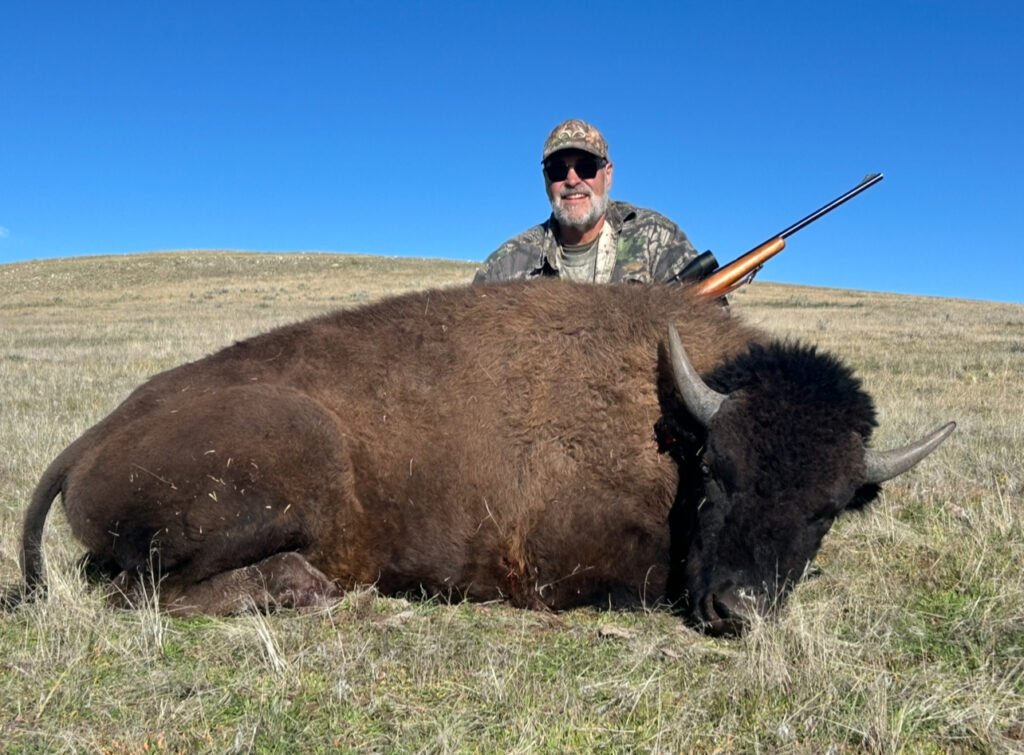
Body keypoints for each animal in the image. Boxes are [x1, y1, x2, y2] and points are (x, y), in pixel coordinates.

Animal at [4, 280, 954, 636]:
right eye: (720, 475)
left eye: (828, 507)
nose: (738, 608)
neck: (671, 425)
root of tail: (94, 434)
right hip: (285, 466)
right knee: (137, 591)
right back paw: (305, 589)